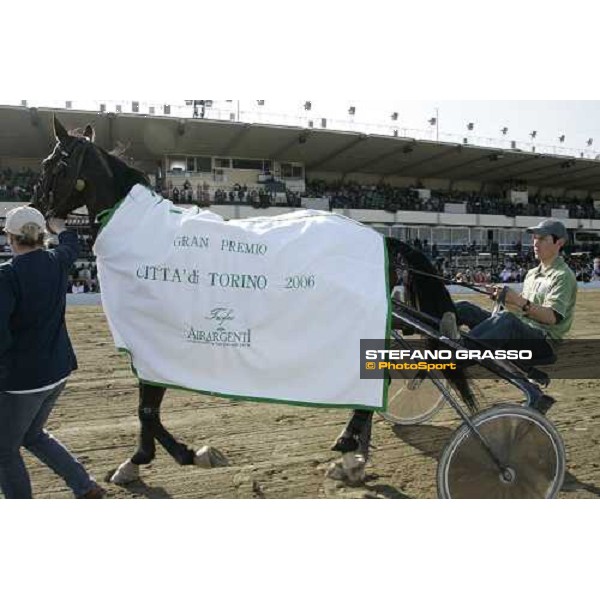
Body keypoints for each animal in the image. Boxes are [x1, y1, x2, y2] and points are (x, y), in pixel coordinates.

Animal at [36, 116, 478, 488]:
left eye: (50, 164)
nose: (37, 213)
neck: (148, 237)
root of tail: (381, 237)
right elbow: (148, 408)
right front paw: (155, 458)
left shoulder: (155, 337)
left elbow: (147, 408)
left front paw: (170, 456)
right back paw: (353, 453)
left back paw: (351, 451)